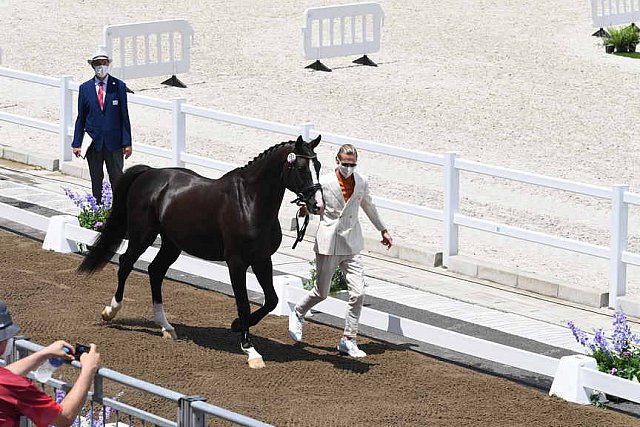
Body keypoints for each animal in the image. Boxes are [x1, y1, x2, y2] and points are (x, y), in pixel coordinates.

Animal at [77, 136, 322, 368]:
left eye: (318, 165)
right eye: (301, 167)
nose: (317, 204)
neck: (249, 202)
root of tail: (150, 173)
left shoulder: (262, 259)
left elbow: (271, 300)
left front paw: (236, 326)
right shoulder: (236, 262)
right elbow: (243, 303)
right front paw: (250, 350)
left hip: (171, 243)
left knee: (155, 271)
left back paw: (166, 327)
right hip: (142, 235)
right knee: (126, 263)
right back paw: (111, 311)